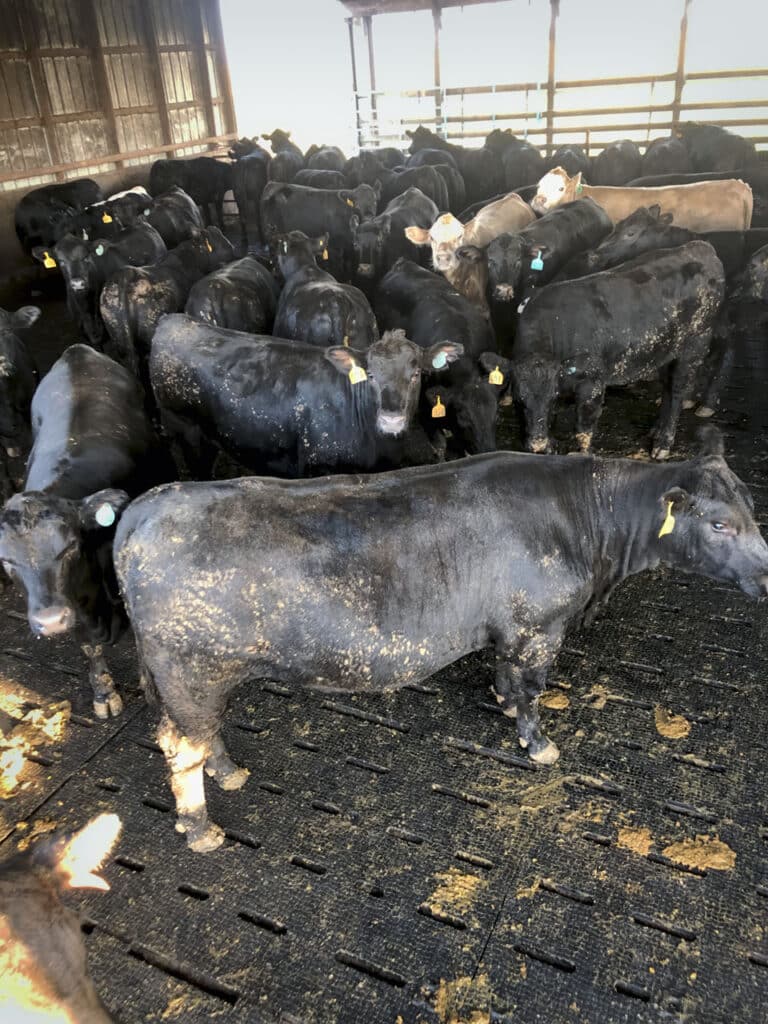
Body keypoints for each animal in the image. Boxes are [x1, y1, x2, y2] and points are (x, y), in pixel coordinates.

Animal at [0, 345, 173, 717]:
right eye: (6, 561)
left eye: (69, 548)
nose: (50, 620)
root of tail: (75, 352)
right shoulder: (73, 606)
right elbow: (88, 648)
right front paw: (104, 694)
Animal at [112, 427, 768, 852]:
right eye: (719, 524)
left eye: (751, 512)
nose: (767, 574)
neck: (586, 522)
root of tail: (146, 509)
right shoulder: (539, 628)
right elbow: (533, 691)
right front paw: (538, 744)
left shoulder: (508, 629)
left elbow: (506, 678)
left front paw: (503, 705)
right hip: (192, 673)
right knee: (182, 750)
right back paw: (202, 829)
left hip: (192, 683)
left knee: (196, 737)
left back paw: (231, 774)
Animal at [150, 314, 460, 479]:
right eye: (370, 375)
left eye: (416, 374)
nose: (391, 420)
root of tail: (173, 321)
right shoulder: (318, 466)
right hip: (184, 428)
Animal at [511, 241, 726, 458]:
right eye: (519, 401)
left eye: (552, 399)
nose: (537, 446)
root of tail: (700, 247)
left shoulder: (592, 382)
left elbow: (584, 427)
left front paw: (582, 454)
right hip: (666, 350)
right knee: (667, 385)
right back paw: (656, 430)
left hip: (695, 345)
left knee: (677, 391)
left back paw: (663, 443)